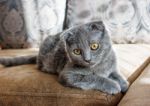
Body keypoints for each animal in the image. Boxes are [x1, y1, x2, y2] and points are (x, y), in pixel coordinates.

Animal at [0, 21, 128, 94]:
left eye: (94, 46)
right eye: (77, 51)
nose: (87, 59)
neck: (100, 66)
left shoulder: (112, 67)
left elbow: (117, 75)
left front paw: (124, 85)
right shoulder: (67, 75)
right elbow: (93, 78)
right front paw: (113, 85)